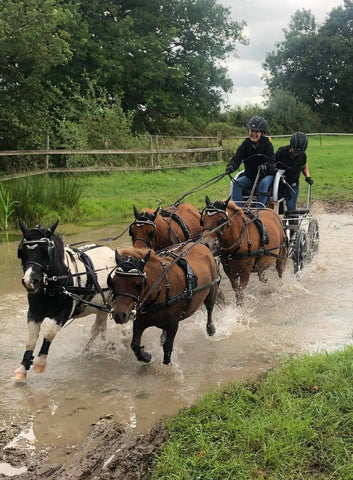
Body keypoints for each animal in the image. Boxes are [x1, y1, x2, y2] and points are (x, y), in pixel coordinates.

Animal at [13, 221, 115, 382]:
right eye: (22, 251)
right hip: (102, 306)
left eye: (46, 251)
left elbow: (49, 333)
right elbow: (31, 340)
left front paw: (40, 364)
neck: (53, 285)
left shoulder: (63, 313)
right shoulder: (34, 313)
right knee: (100, 327)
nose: (29, 281)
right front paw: (22, 370)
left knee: (98, 328)